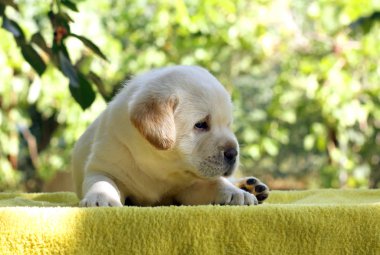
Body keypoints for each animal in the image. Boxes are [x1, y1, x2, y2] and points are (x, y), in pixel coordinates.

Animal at [71, 65, 268, 207]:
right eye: (201, 124)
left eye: (228, 124)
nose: (233, 153)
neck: (161, 168)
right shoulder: (103, 165)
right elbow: (102, 181)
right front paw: (101, 198)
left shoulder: (193, 185)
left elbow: (217, 183)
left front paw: (237, 194)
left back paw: (250, 186)